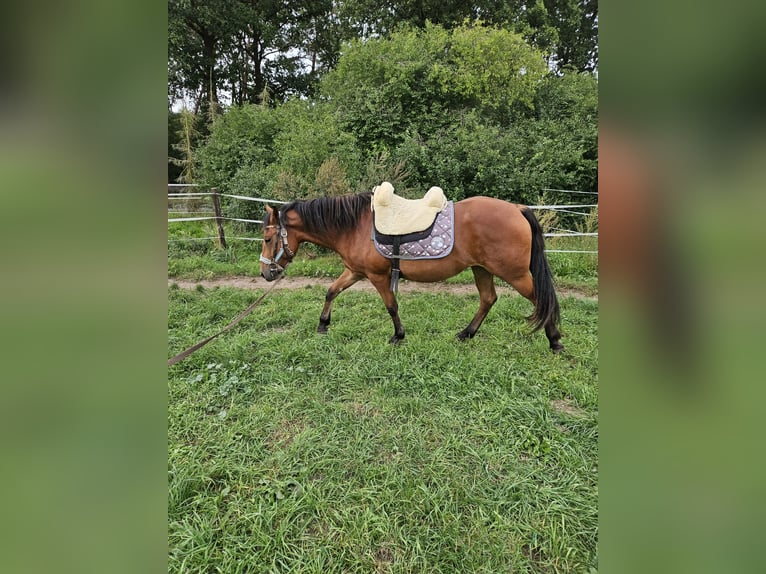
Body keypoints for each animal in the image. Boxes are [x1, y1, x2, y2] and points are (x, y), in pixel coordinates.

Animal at [260, 192, 568, 352]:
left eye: (267, 238)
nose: (266, 274)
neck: (354, 226)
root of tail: (517, 208)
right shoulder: (355, 272)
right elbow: (331, 291)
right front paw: (323, 324)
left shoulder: (378, 277)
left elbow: (391, 306)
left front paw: (398, 336)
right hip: (481, 269)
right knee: (488, 299)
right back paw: (465, 334)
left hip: (514, 274)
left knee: (542, 300)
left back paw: (554, 341)